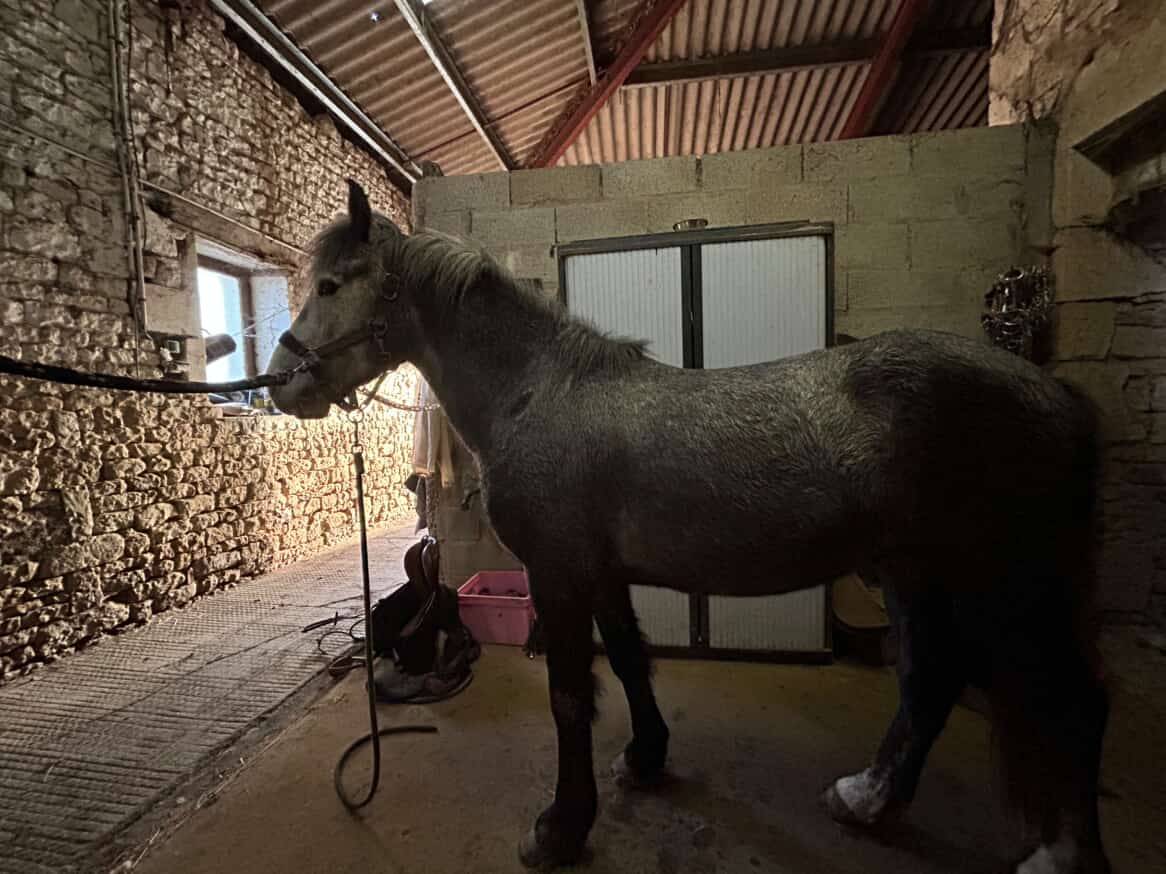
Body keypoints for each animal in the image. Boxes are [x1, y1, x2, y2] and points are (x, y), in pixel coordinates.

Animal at [268, 181, 1110, 874]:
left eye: (331, 284)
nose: (280, 383)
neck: (537, 393)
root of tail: (1058, 397)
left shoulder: (559, 574)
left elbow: (569, 697)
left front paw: (560, 830)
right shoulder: (602, 573)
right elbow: (632, 661)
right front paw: (645, 758)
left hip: (1003, 587)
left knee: (1068, 706)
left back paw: (1059, 854)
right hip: (915, 573)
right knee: (932, 680)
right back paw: (867, 799)